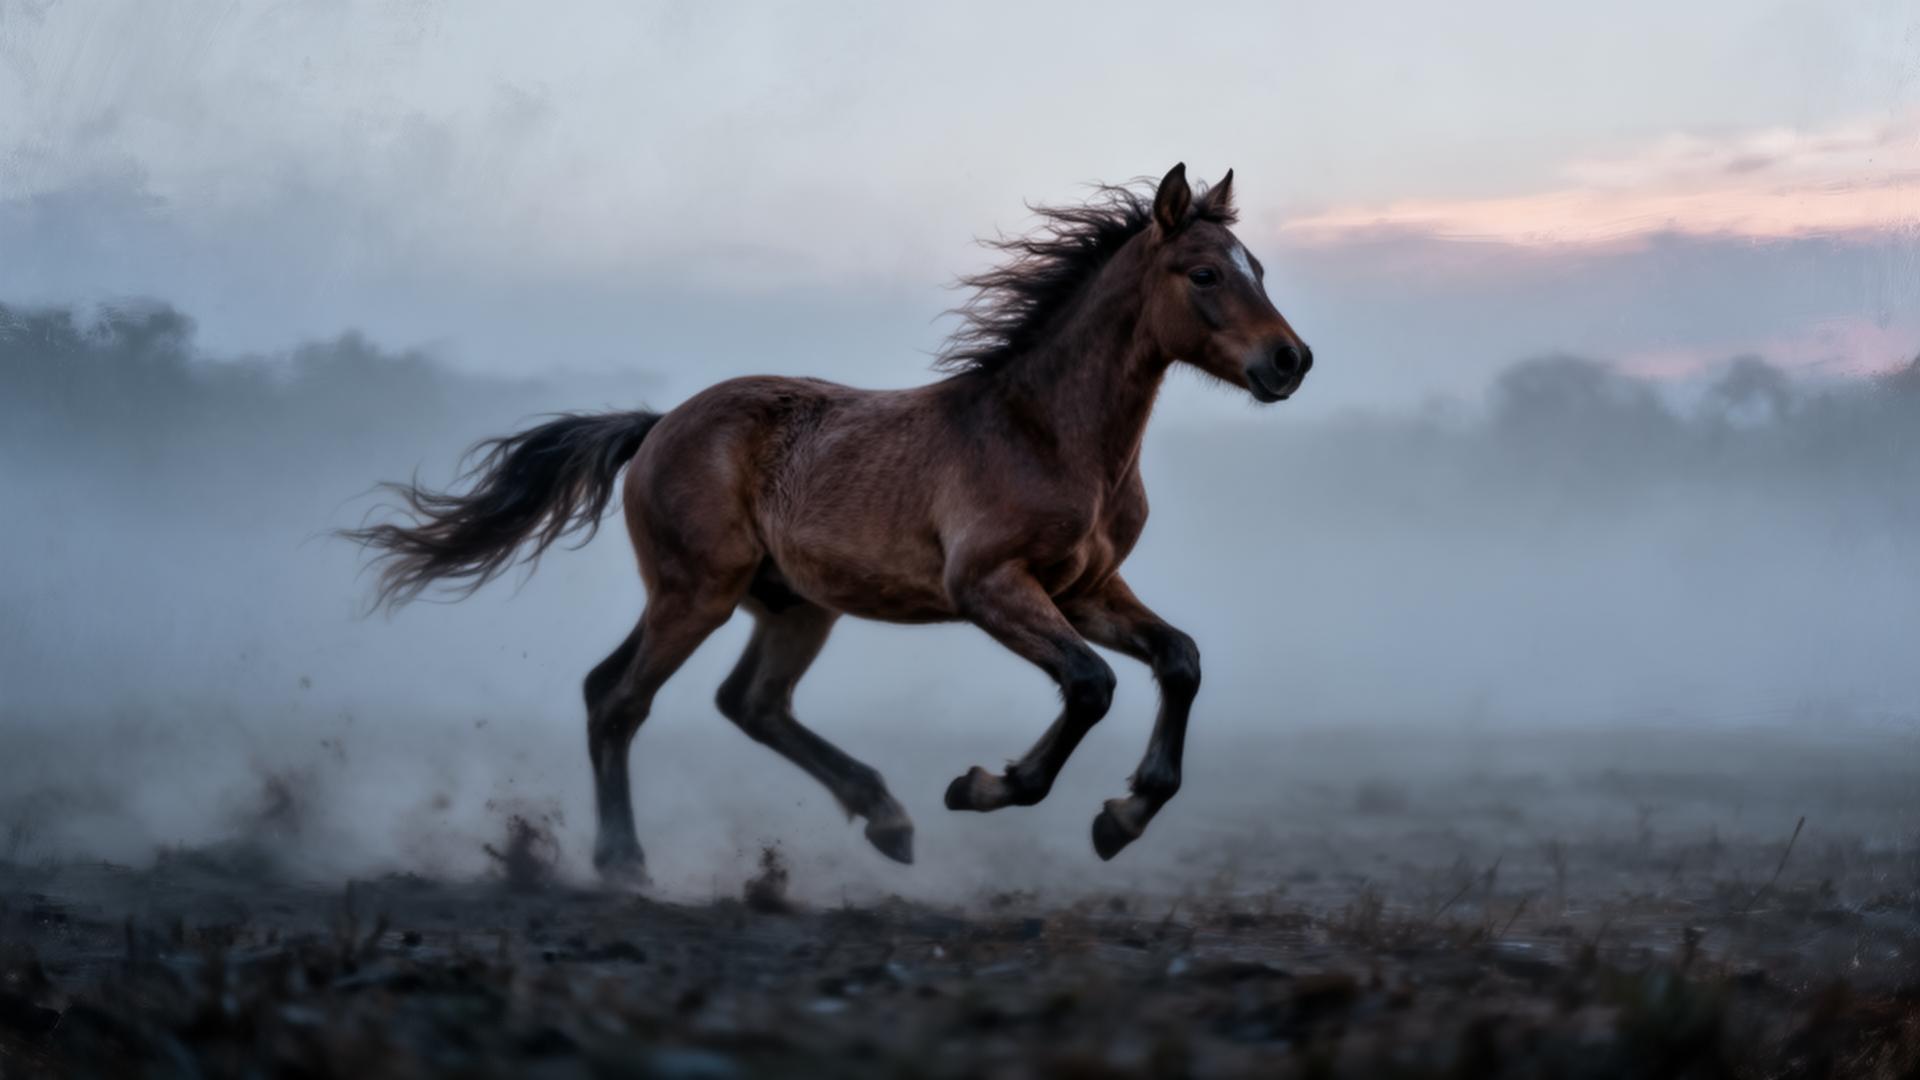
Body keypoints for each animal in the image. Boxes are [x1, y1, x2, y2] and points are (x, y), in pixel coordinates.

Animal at [343, 164, 1313, 880]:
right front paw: (987, 786)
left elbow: (1179, 660)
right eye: (1204, 273)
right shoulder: (990, 587)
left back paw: (886, 820)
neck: (1047, 432)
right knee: (623, 702)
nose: (1289, 361)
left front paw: (1124, 814)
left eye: (1260, 268)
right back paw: (625, 863)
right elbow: (1090, 684)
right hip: (696, 591)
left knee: (736, 701)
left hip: (790, 605)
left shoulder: (1087, 588)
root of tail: (658, 426)